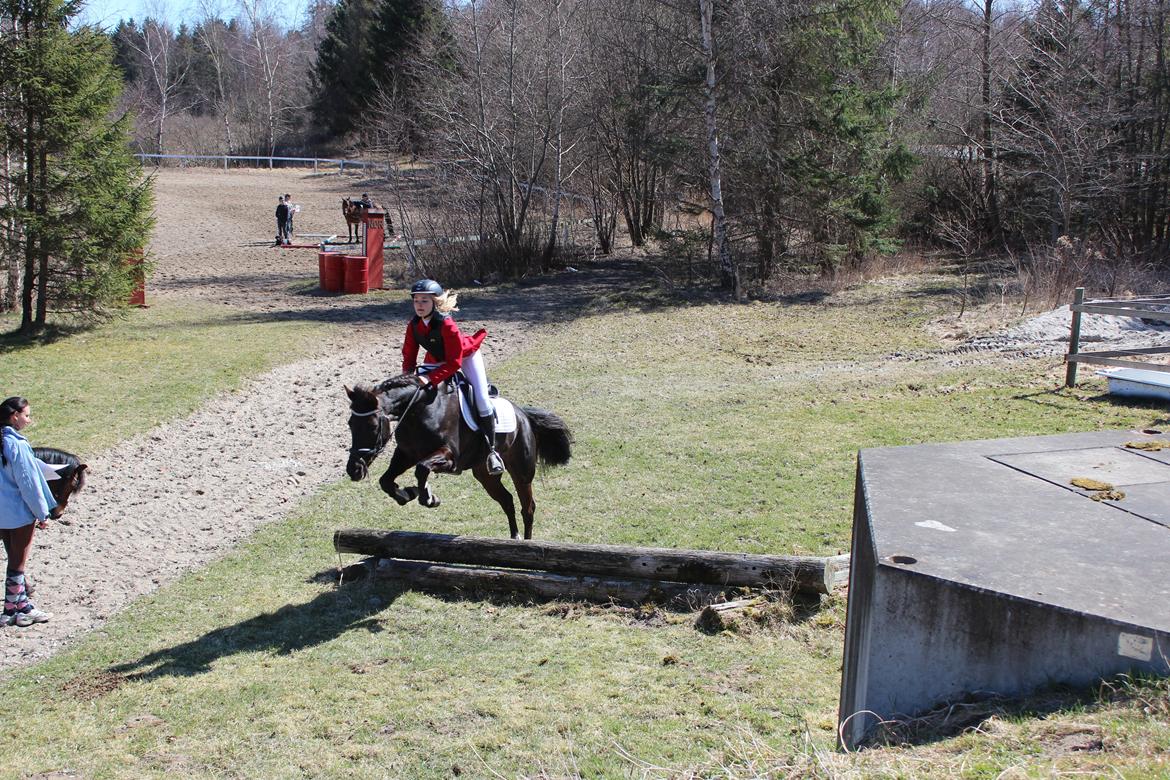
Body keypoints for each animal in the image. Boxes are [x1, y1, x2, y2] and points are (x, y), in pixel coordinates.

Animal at [341, 374, 570, 540]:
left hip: (521, 471)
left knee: (528, 507)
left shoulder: (449, 457)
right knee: (506, 500)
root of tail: (524, 415)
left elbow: (422, 469)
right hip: (484, 474)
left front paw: (428, 497)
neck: (418, 411)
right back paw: (514, 537)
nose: (354, 469)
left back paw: (529, 542)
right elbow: (386, 480)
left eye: (372, 426)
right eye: (350, 424)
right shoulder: (406, 454)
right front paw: (406, 494)